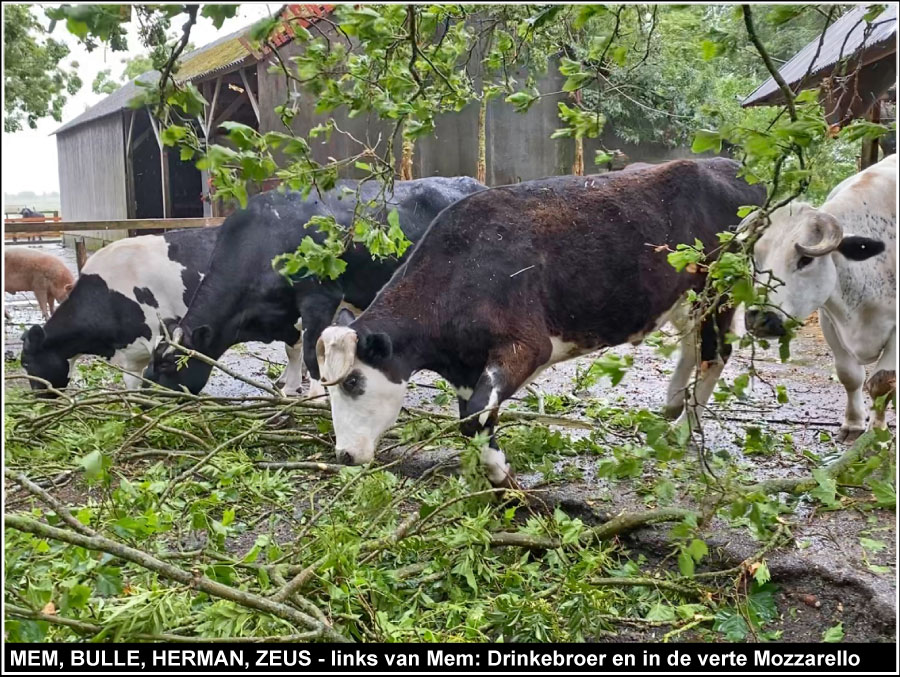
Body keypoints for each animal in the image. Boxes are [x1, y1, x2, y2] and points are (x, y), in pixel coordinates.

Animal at [145, 177, 488, 396]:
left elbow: (313, 352)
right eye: (153, 358)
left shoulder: (319, 296)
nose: (146, 390)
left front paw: (315, 398)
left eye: (168, 363)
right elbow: (293, 348)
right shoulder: (283, 311)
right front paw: (290, 387)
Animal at [316, 157, 768, 486]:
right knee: (693, 344)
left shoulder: (528, 344)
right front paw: (487, 470)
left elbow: (475, 413)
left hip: (718, 289)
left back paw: (682, 429)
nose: (344, 455)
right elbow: (472, 417)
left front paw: (500, 473)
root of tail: (730, 166)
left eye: (353, 382)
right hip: (684, 299)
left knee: (715, 353)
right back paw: (673, 404)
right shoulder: (467, 367)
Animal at [744, 152, 892, 438]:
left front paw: (877, 431)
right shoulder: (829, 321)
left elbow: (882, 382)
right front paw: (854, 423)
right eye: (756, 258)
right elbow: (850, 376)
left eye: (805, 260)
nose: (759, 317)